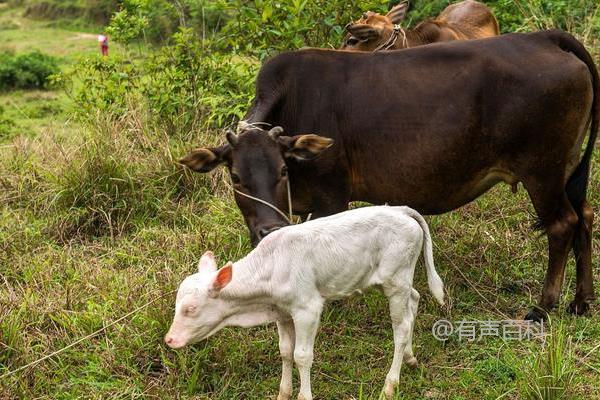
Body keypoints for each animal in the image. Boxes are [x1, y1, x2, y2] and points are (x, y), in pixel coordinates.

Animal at [164, 206, 446, 400]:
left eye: (190, 308)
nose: (169, 339)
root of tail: (400, 210)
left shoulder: (307, 308)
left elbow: (302, 355)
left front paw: (304, 395)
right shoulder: (281, 312)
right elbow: (285, 351)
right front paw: (283, 393)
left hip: (396, 278)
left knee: (401, 327)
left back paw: (390, 384)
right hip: (394, 280)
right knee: (414, 300)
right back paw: (410, 358)